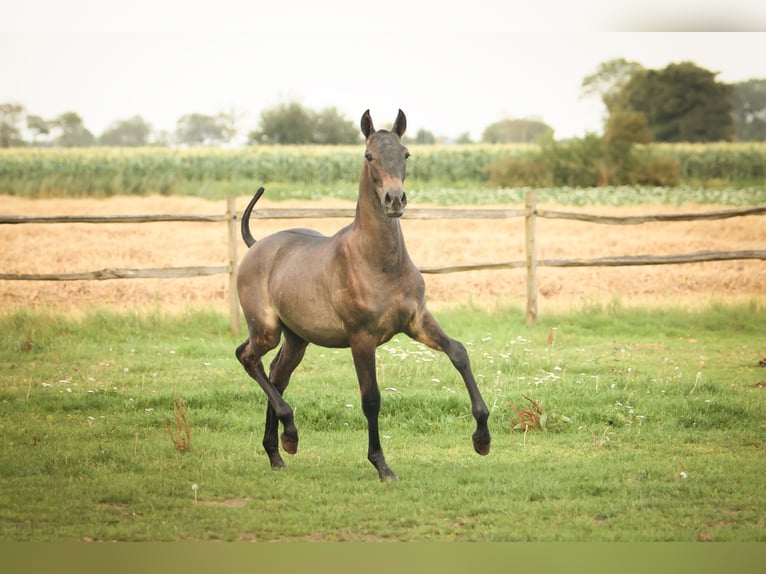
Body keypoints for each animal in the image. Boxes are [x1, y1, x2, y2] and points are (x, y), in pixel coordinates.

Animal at [234, 109, 492, 482]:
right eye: (369, 156)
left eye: (406, 154)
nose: (395, 200)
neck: (377, 262)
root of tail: (255, 246)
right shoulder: (361, 338)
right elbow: (371, 399)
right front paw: (382, 465)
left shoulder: (417, 321)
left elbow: (459, 353)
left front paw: (482, 438)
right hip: (266, 330)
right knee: (248, 358)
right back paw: (290, 433)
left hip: (296, 339)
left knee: (277, 375)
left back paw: (277, 451)